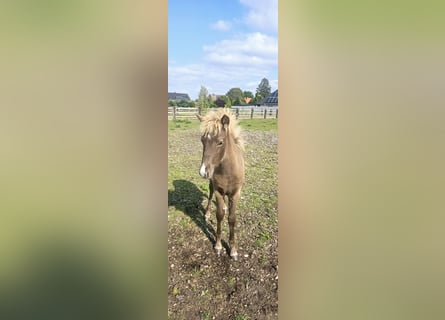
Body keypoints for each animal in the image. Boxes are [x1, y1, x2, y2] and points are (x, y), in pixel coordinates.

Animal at [196, 108, 245, 260]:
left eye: (220, 142)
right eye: (202, 140)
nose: (203, 171)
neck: (228, 171)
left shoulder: (235, 193)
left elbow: (231, 219)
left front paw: (233, 250)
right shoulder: (218, 191)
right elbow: (219, 216)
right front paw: (218, 246)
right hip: (213, 185)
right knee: (210, 194)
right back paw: (207, 214)